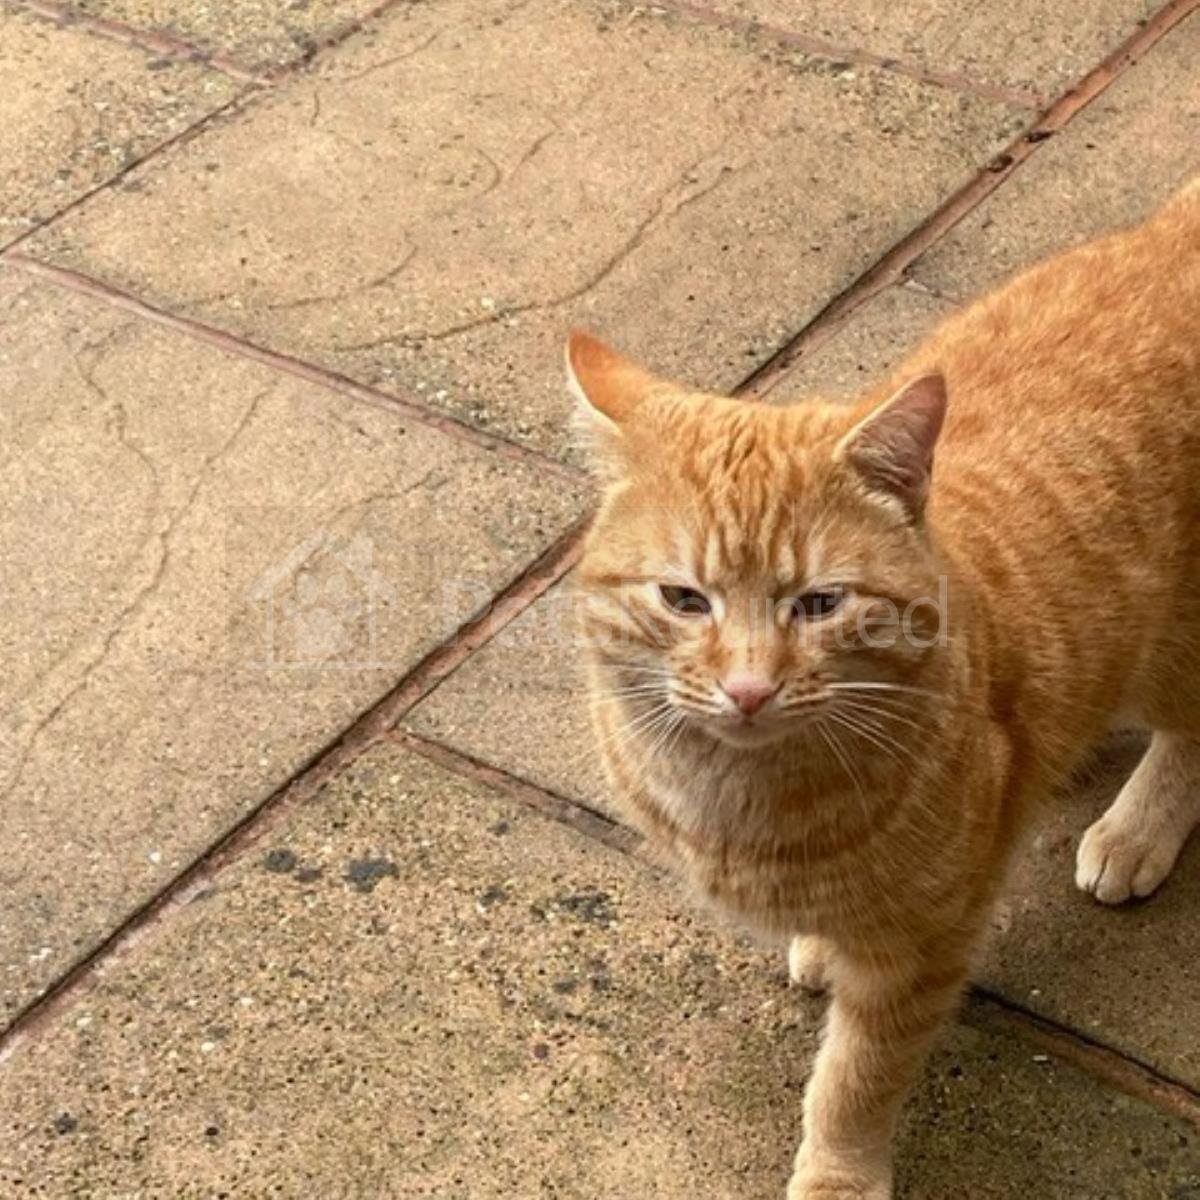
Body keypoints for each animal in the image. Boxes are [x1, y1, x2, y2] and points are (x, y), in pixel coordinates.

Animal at [568, 178, 1200, 1199]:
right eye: (684, 599)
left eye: (820, 603)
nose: (748, 688)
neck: (744, 799)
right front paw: (824, 942)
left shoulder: (920, 949)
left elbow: (855, 1078)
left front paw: (839, 1173)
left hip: (1174, 642)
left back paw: (1138, 826)